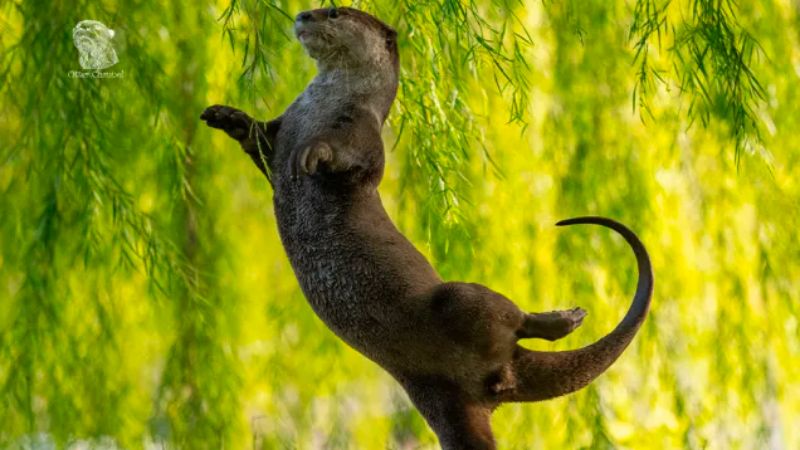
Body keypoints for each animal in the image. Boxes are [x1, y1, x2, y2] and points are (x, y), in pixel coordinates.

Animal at [198, 7, 648, 450]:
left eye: (335, 12)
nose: (303, 15)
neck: (320, 106)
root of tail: (504, 374)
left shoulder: (362, 134)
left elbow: (345, 156)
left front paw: (312, 152)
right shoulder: (282, 128)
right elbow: (257, 141)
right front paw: (225, 116)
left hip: (458, 299)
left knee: (510, 317)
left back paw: (566, 318)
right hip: (435, 395)